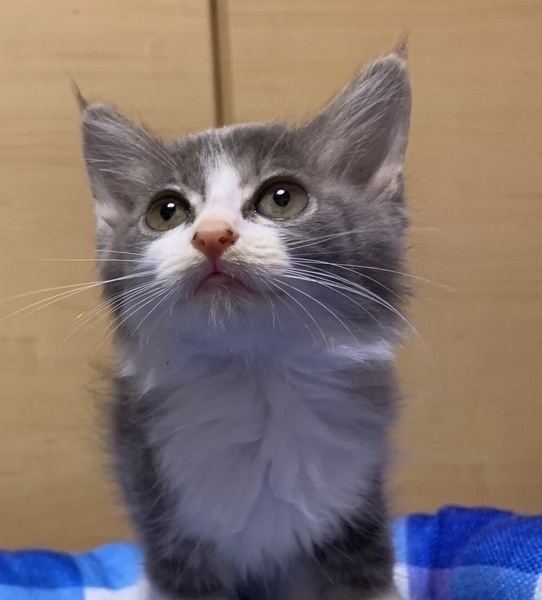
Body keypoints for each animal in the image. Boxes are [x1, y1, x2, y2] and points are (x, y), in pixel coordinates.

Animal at [79, 41, 411, 600]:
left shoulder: (357, 506)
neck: (256, 381)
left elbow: (367, 573)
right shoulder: (166, 522)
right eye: (166, 211)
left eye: (282, 198)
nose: (212, 235)